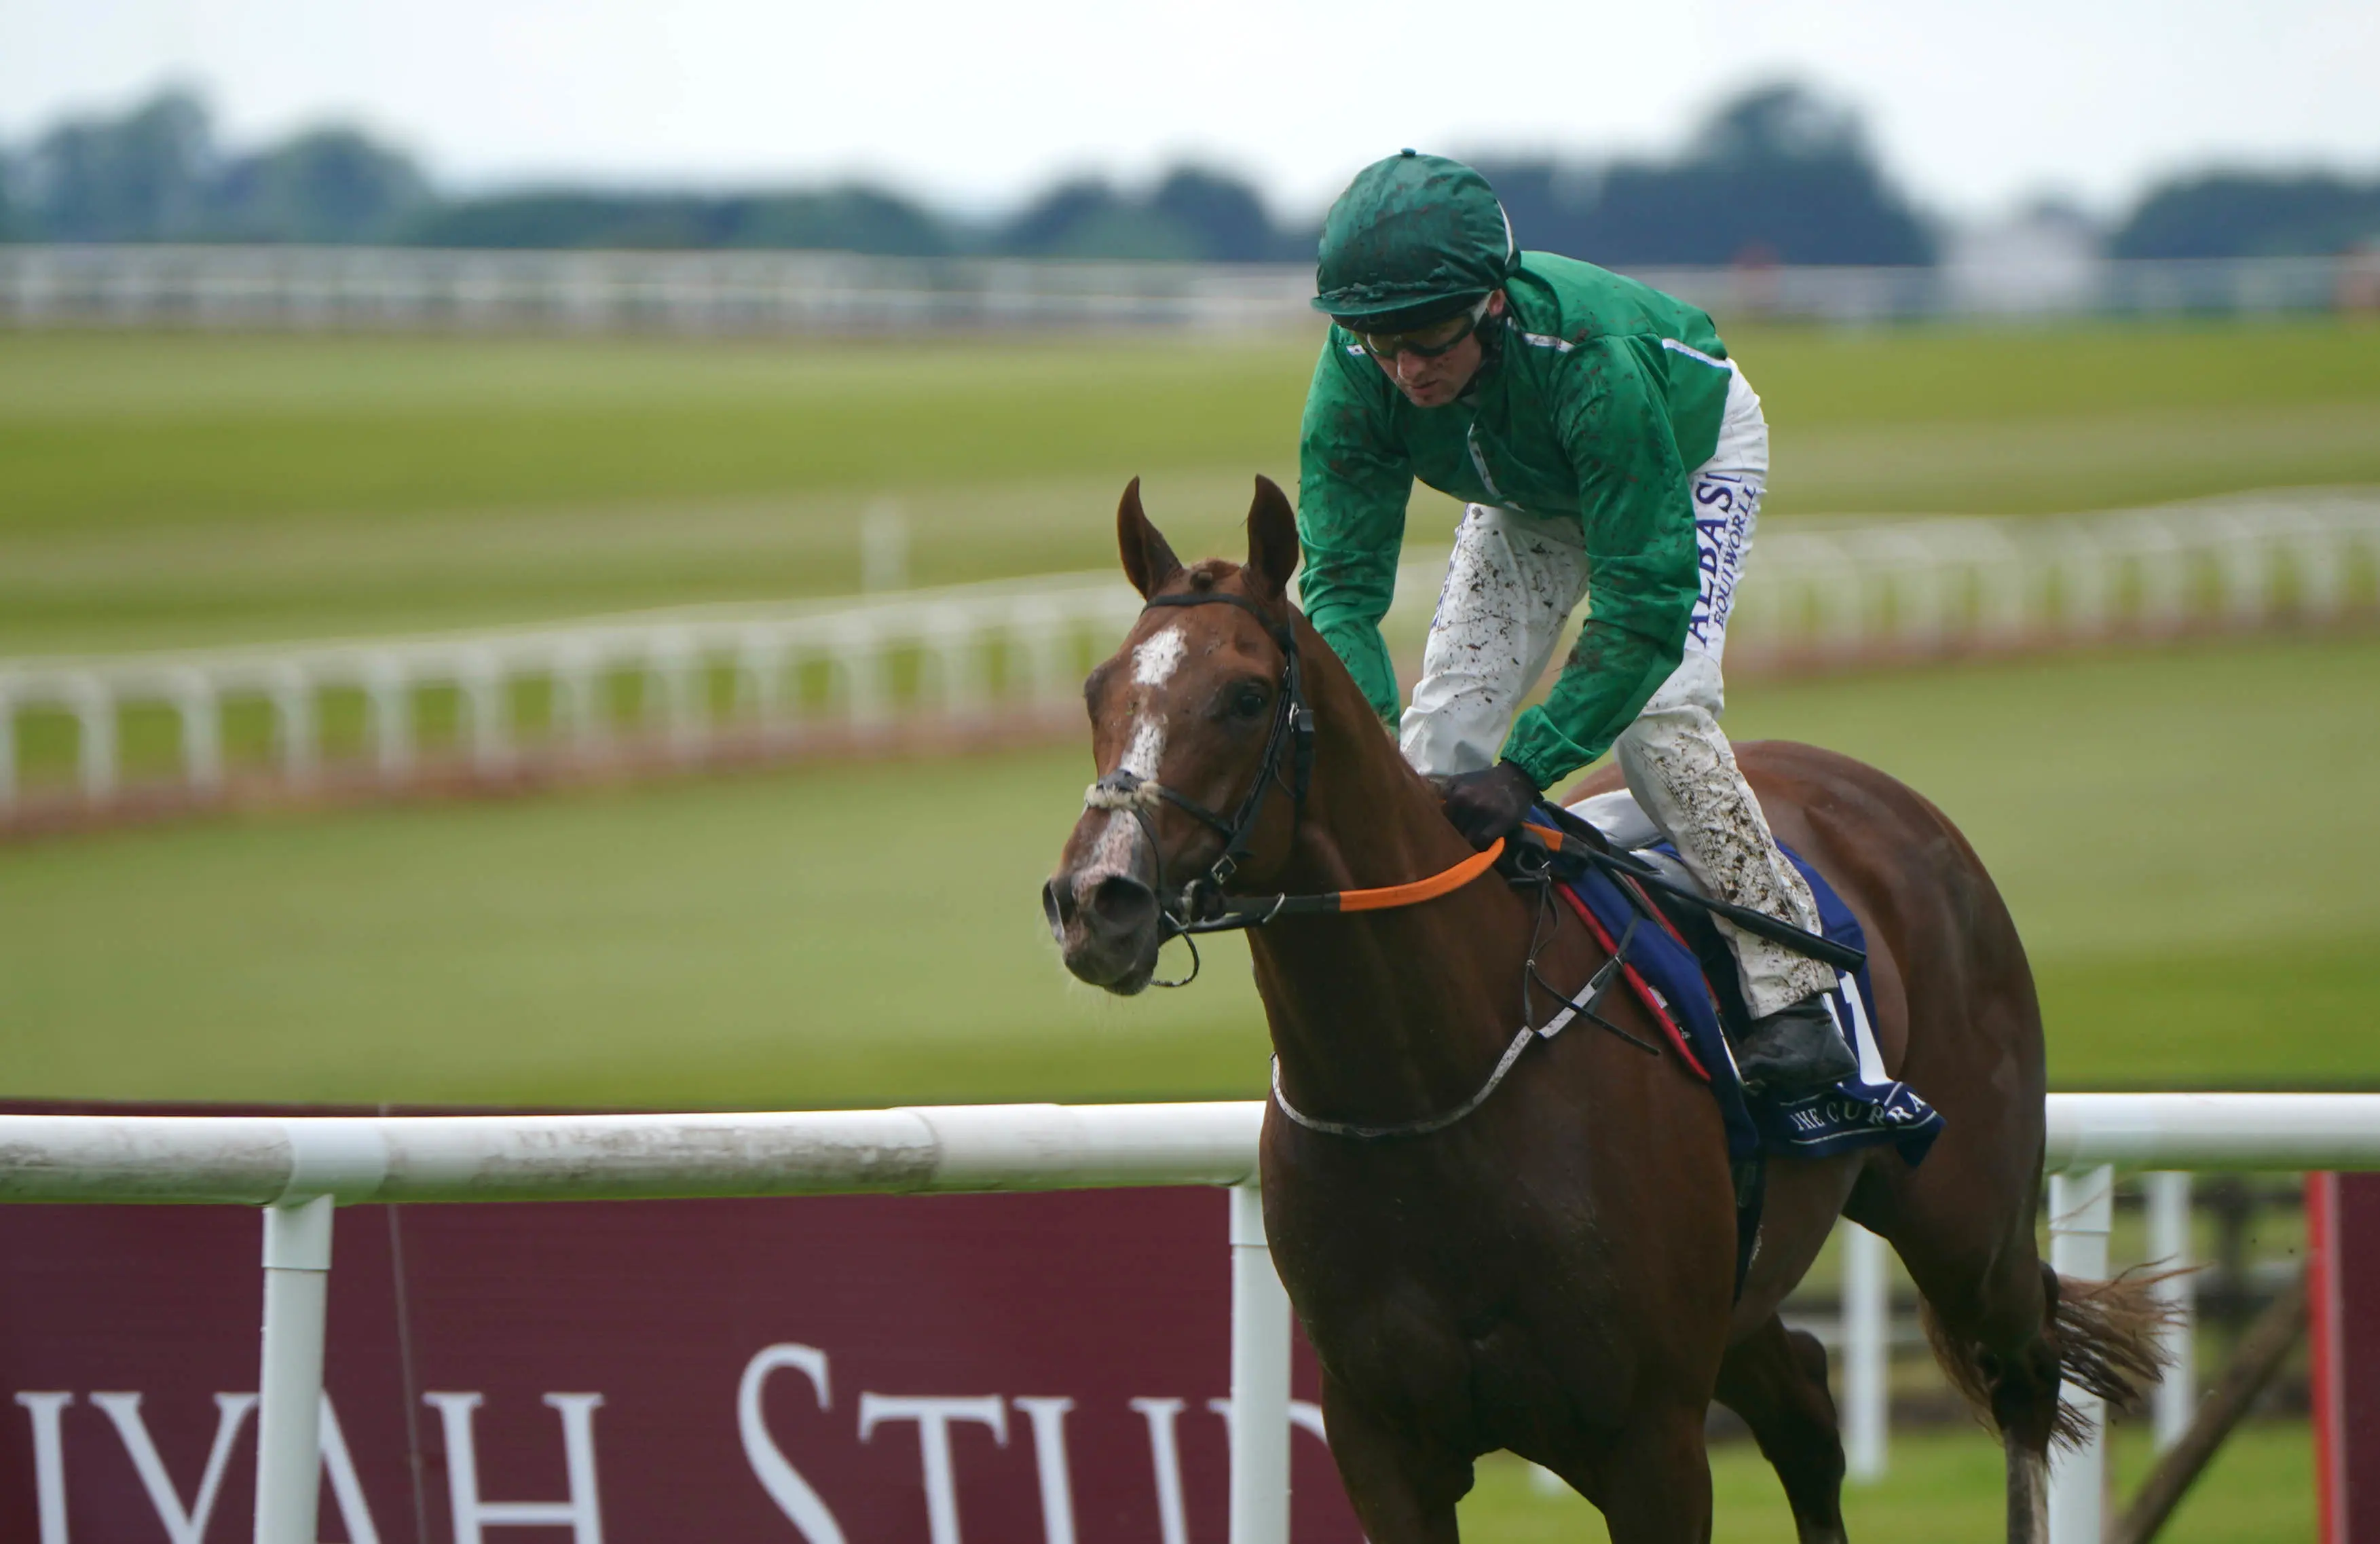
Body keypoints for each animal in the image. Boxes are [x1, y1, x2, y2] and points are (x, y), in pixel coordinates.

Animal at [1044, 476, 2163, 1543]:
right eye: (1097, 688)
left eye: (1244, 694)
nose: (1096, 899)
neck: (1427, 1090)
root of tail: (1885, 799)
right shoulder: (1382, 1444)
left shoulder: (1648, 1441)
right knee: (1805, 1400)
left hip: (1965, 1214)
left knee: (2023, 1373)